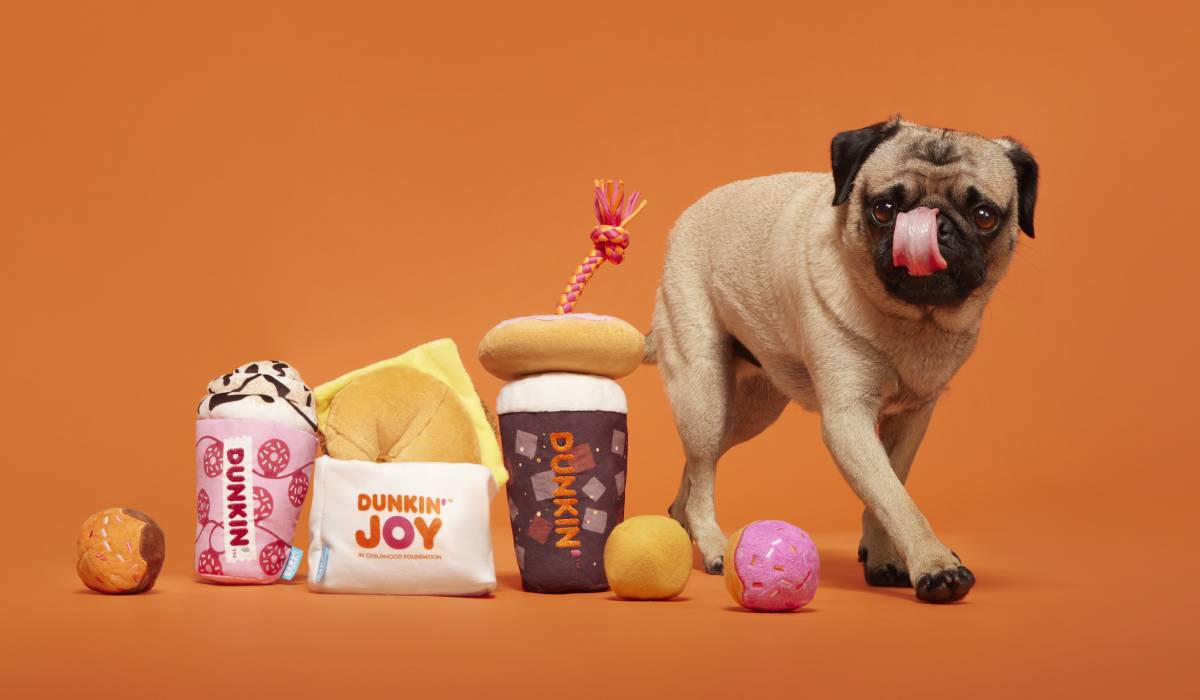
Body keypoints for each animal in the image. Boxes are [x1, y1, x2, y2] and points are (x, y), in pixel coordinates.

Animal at [652, 118, 1036, 602]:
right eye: (884, 209)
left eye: (985, 216)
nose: (934, 225)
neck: (911, 321)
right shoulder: (848, 420)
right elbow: (895, 498)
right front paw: (935, 566)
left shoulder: (912, 416)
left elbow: (889, 488)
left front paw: (885, 555)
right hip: (703, 390)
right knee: (703, 469)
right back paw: (714, 543)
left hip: (749, 410)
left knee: (696, 466)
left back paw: (683, 523)